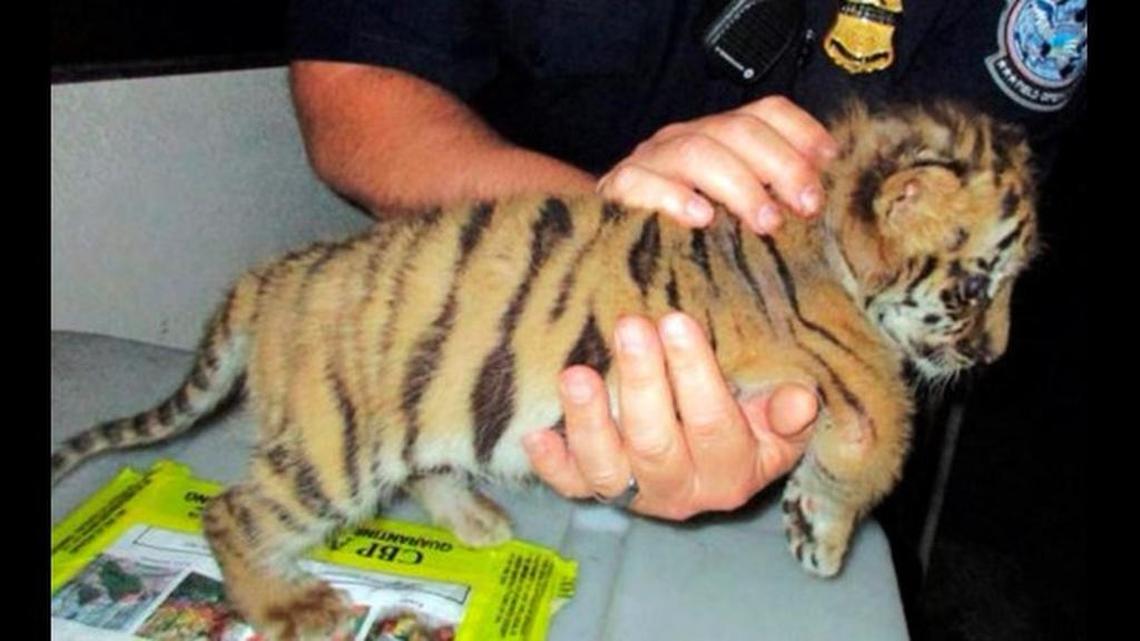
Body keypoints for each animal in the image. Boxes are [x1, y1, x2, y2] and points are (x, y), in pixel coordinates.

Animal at [51, 100, 1038, 640]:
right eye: (975, 287)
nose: (998, 354)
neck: (828, 237)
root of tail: (273, 274)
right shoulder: (855, 375)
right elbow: (882, 441)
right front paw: (825, 538)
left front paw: (804, 522)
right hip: (334, 445)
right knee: (232, 511)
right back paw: (291, 606)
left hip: (414, 411)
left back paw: (480, 520)